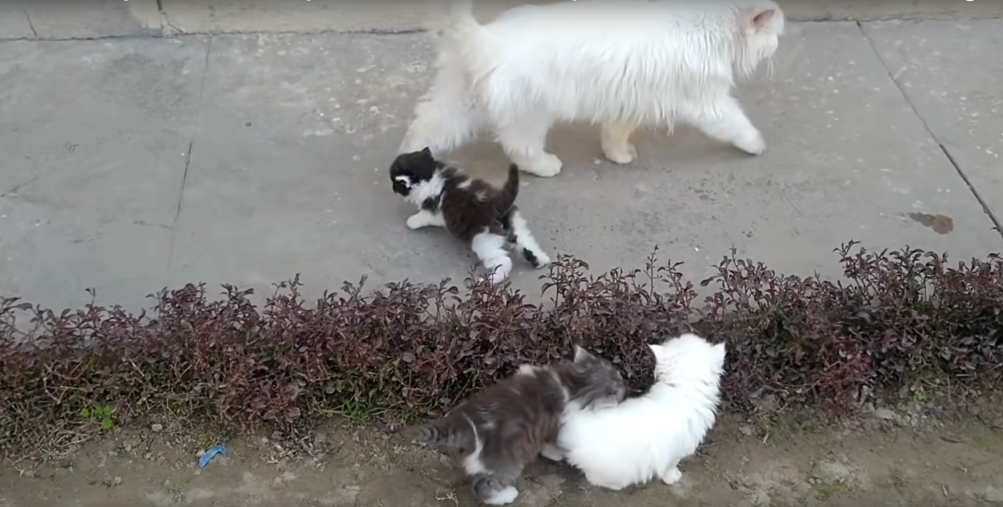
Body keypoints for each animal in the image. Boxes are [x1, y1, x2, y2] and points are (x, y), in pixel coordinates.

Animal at [389, 146, 549, 283]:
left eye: (395, 183)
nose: (392, 189)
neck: (430, 175)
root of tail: (498, 205)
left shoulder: (435, 213)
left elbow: (424, 216)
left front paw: (412, 221)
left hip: (484, 242)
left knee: (504, 261)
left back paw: (493, 279)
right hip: (516, 225)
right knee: (527, 242)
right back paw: (541, 260)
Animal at [397, 0, 782, 177]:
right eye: (774, 32)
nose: (779, 43)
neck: (705, 27)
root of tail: (489, 40)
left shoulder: (631, 101)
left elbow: (614, 133)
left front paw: (617, 154)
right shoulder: (707, 102)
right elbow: (736, 123)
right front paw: (756, 144)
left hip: (459, 104)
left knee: (424, 129)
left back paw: (408, 166)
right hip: (531, 114)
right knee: (520, 147)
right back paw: (544, 165)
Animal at [411, 345, 621, 503]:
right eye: (620, 387)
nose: (625, 387)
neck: (575, 382)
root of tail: (471, 420)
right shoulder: (559, 423)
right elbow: (553, 441)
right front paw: (555, 453)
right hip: (509, 459)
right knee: (485, 485)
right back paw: (505, 496)